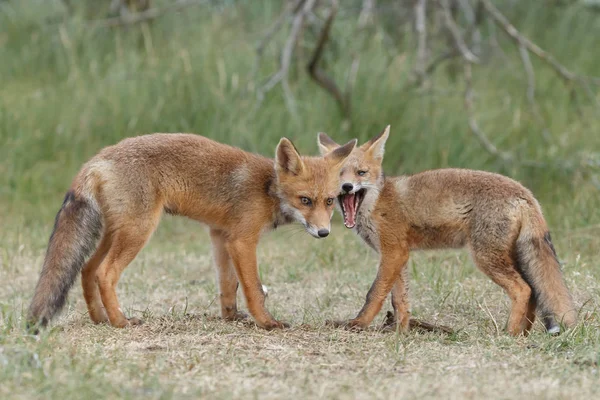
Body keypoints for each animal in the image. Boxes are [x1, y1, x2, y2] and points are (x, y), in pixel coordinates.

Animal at [29, 133, 356, 330]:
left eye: (330, 201)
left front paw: (230, 317)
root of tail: (96, 160)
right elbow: (252, 288)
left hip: (117, 232)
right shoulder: (243, 240)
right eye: (305, 200)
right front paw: (266, 323)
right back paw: (121, 321)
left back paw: (100, 319)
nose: (324, 233)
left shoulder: (221, 235)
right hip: (138, 231)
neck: (267, 189)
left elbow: (227, 285)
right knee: (104, 273)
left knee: (86, 269)